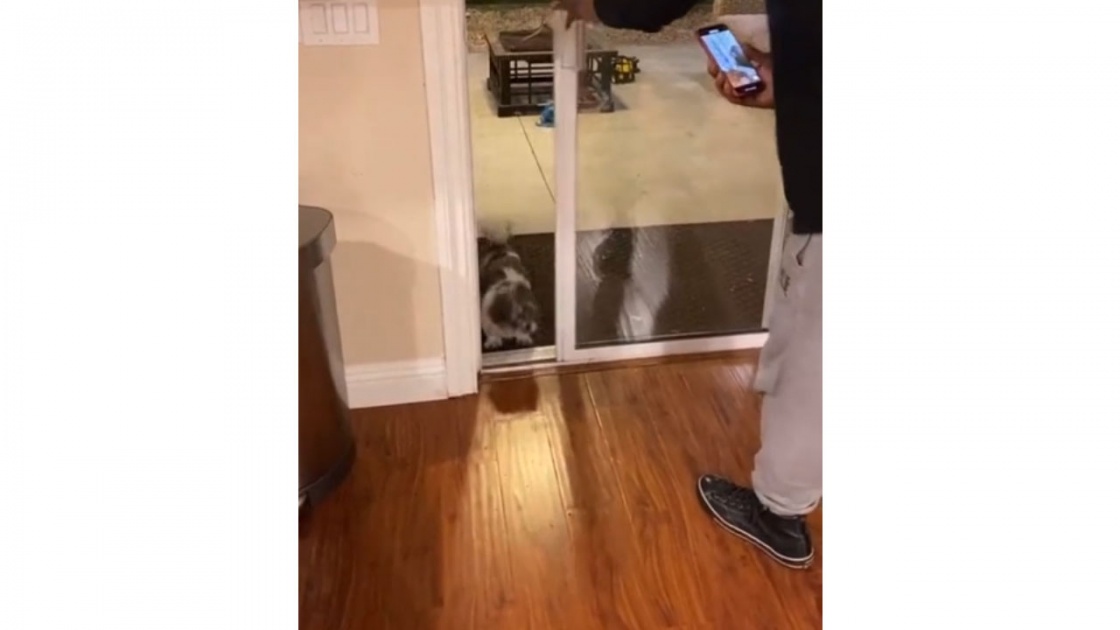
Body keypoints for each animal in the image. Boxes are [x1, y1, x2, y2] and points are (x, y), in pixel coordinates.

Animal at [478, 222, 541, 350]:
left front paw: (523, 338)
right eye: (517, 316)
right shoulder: (486, 318)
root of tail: (499, 246)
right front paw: (493, 341)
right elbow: (491, 333)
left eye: (531, 313)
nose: (529, 326)